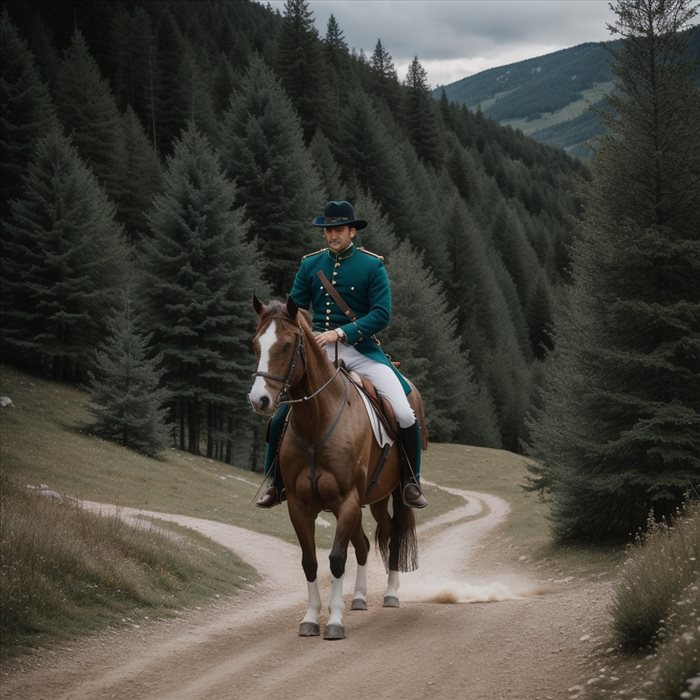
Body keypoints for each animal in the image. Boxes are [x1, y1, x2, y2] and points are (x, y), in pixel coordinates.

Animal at [247, 296, 422, 640]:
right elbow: (310, 562)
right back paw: (359, 598)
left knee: (394, 535)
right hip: (373, 499)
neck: (317, 420)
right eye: (256, 345)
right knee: (367, 543)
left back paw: (390, 593)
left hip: (392, 493)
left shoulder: (347, 499)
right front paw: (311, 617)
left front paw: (335, 621)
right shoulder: (300, 506)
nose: (259, 400)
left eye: (286, 346)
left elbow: (338, 559)